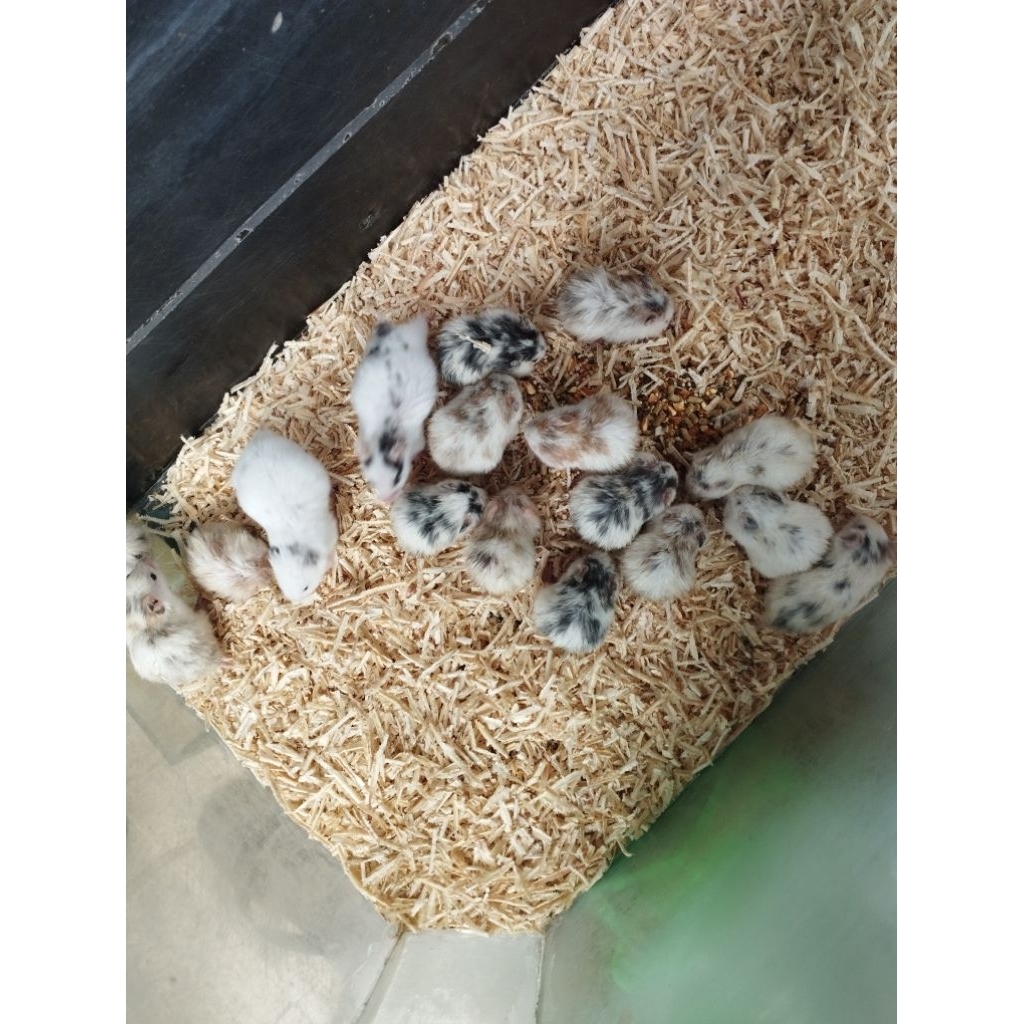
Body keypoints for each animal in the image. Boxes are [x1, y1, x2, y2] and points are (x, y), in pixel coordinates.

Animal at [351, 314, 439, 503]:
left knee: (420, 320)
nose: (387, 500)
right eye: (372, 481)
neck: (384, 435)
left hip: (416, 331)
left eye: (397, 478)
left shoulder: (418, 441)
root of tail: (391, 334)